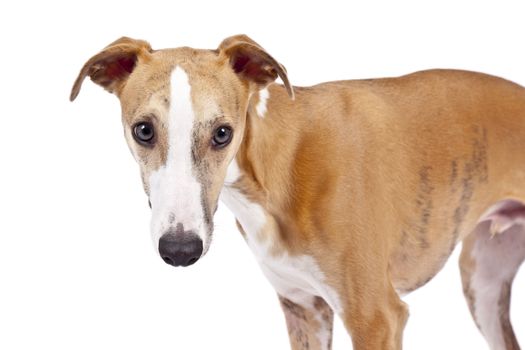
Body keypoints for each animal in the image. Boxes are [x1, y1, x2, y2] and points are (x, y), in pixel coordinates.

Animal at [70, 35, 524, 350]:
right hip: (484, 287)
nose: (180, 250)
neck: (278, 167)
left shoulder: (377, 317)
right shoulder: (305, 308)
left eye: (223, 133)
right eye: (143, 130)